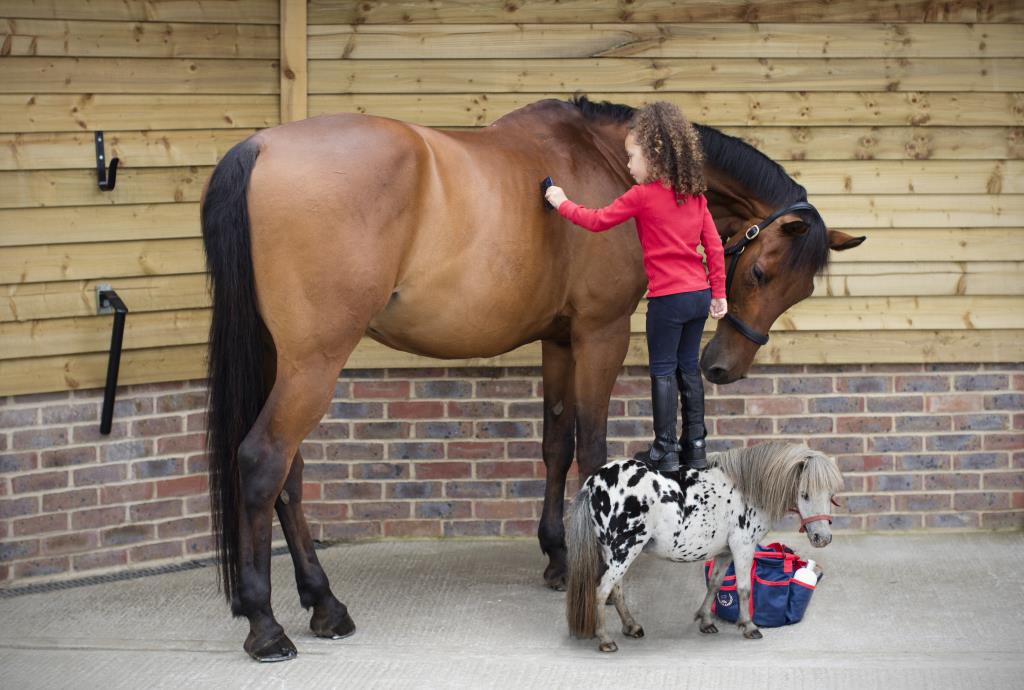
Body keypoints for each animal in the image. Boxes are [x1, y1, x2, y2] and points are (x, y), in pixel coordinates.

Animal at [565, 440, 843, 651]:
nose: (822, 538)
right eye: (804, 493)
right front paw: (749, 626)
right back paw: (605, 639)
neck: (746, 488)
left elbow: (715, 584)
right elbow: (744, 588)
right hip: (624, 551)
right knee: (601, 591)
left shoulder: (724, 552)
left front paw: (706, 621)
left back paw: (631, 627)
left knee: (616, 590)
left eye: (830, 495)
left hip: (614, 553)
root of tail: (593, 483)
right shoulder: (743, 547)